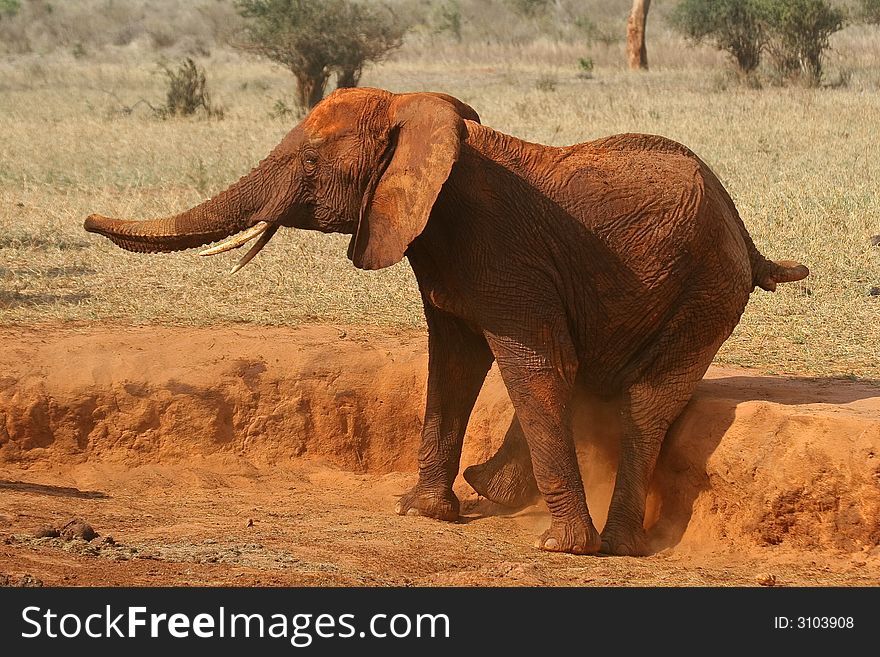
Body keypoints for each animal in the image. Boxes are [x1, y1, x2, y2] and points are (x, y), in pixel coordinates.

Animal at [86, 87, 808, 556]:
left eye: (312, 165)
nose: (89, 221)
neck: (422, 120)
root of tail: (745, 235)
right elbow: (455, 364)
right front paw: (427, 511)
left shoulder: (506, 256)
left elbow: (538, 368)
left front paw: (560, 547)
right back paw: (509, 495)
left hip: (706, 292)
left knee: (644, 401)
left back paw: (612, 544)